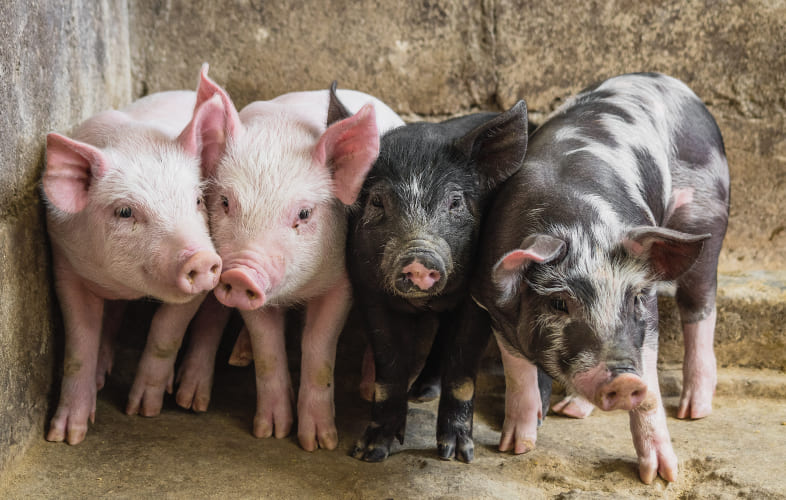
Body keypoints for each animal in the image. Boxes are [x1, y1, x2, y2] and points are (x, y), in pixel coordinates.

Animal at [42, 88, 226, 444]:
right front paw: (66, 436)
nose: (200, 258)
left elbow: (166, 331)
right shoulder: (65, 261)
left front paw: (143, 410)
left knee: (213, 318)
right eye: (125, 212)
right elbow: (79, 346)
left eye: (197, 200)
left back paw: (190, 400)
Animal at [193, 66, 405, 451]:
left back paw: (368, 389)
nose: (241, 274)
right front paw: (271, 432)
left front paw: (319, 443)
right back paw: (238, 357)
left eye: (304, 214)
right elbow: (268, 349)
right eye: (226, 202)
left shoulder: (342, 281)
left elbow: (318, 347)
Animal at [347, 102, 532, 463]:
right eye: (377, 202)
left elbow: (462, 370)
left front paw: (457, 455)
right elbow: (389, 369)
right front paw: (368, 453)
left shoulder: (481, 297)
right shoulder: (367, 290)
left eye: (455, 202)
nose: (419, 259)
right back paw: (420, 393)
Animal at [472, 72, 729, 483]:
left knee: (700, 306)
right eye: (559, 303)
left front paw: (661, 477)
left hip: (706, 215)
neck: (577, 223)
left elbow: (650, 391)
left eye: (633, 299)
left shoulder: (648, 313)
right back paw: (571, 411)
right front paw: (514, 448)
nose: (624, 380)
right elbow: (519, 374)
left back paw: (694, 411)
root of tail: (671, 81)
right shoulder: (494, 307)